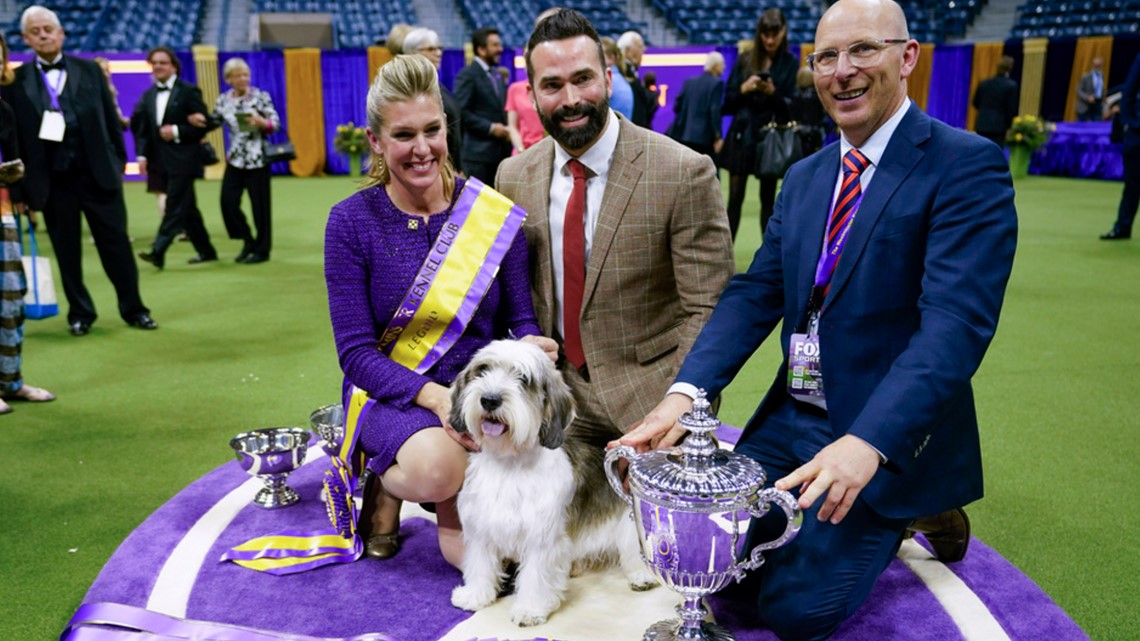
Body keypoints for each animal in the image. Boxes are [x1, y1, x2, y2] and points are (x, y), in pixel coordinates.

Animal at [446, 339, 656, 625]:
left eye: (523, 379)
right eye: (483, 370)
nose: (489, 399)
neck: (509, 464)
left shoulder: (542, 537)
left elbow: (534, 577)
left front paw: (529, 609)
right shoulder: (482, 529)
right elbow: (481, 566)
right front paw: (475, 596)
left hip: (631, 526)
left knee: (637, 555)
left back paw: (642, 576)